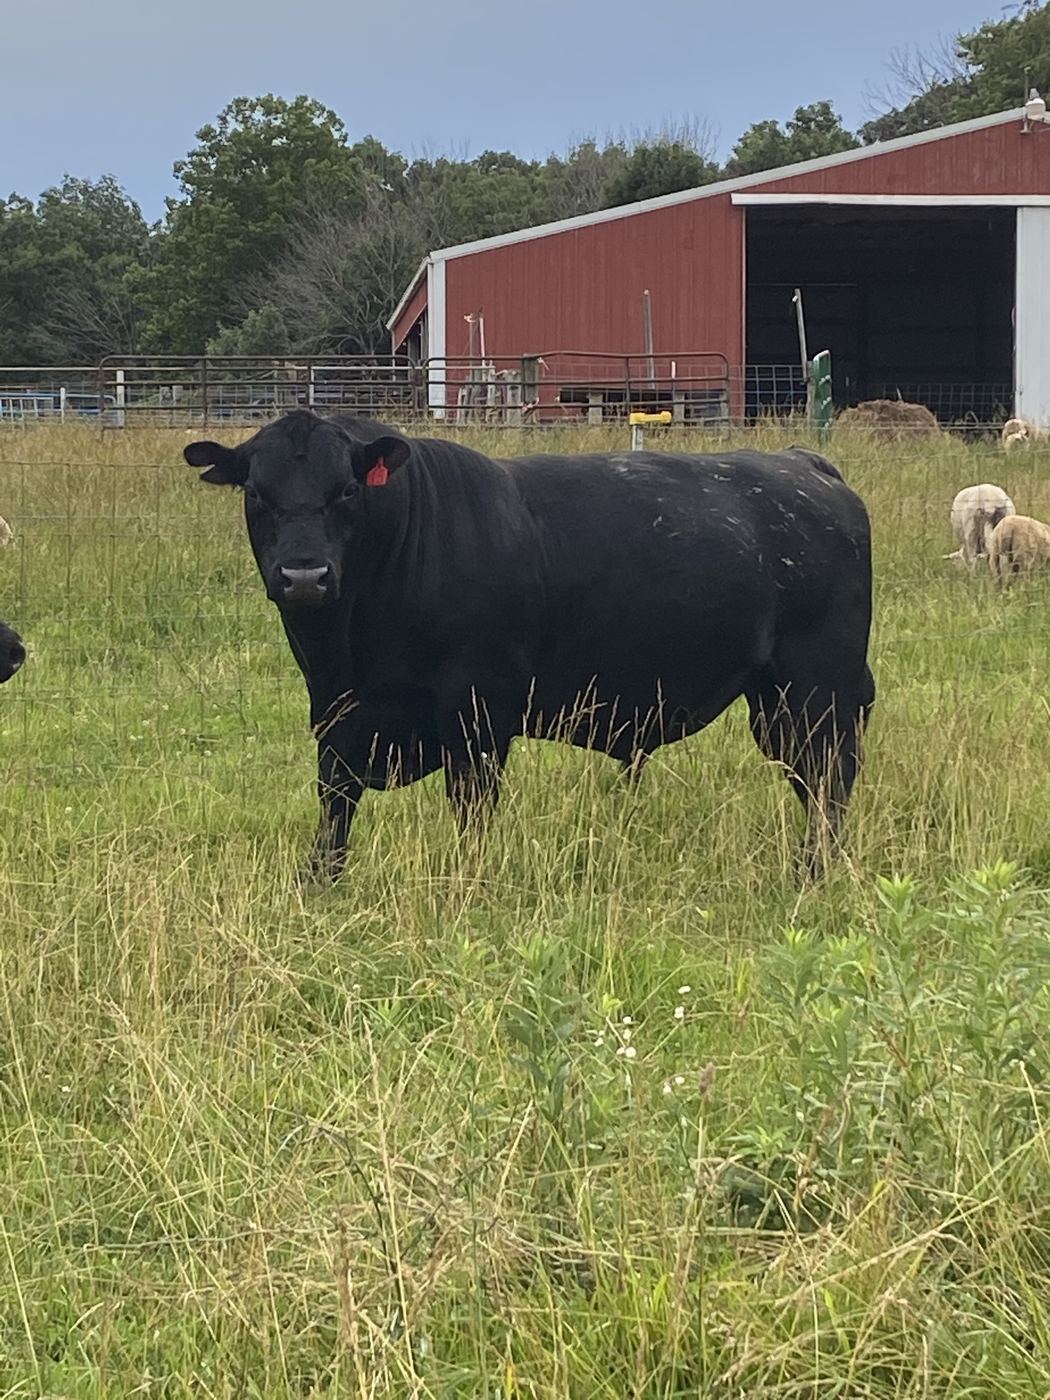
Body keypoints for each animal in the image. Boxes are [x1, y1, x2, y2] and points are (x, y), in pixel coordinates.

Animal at [184, 412, 875, 882]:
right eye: (256, 493)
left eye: (348, 491)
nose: (304, 575)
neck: (348, 650)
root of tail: (804, 465)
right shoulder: (336, 716)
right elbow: (334, 808)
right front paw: (323, 886)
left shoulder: (477, 713)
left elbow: (472, 813)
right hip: (776, 701)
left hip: (820, 687)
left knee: (828, 781)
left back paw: (814, 875)